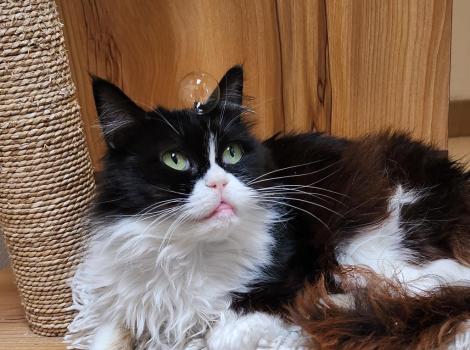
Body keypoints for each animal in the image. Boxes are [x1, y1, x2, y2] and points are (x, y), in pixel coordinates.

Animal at [66, 66, 470, 350]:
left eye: (231, 154)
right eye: (175, 159)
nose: (219, 183)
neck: (187, 251)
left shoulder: (278, 285)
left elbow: (220, 332)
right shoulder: (125, 298)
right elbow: (104, 334)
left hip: (368, 241)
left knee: (438, 282)